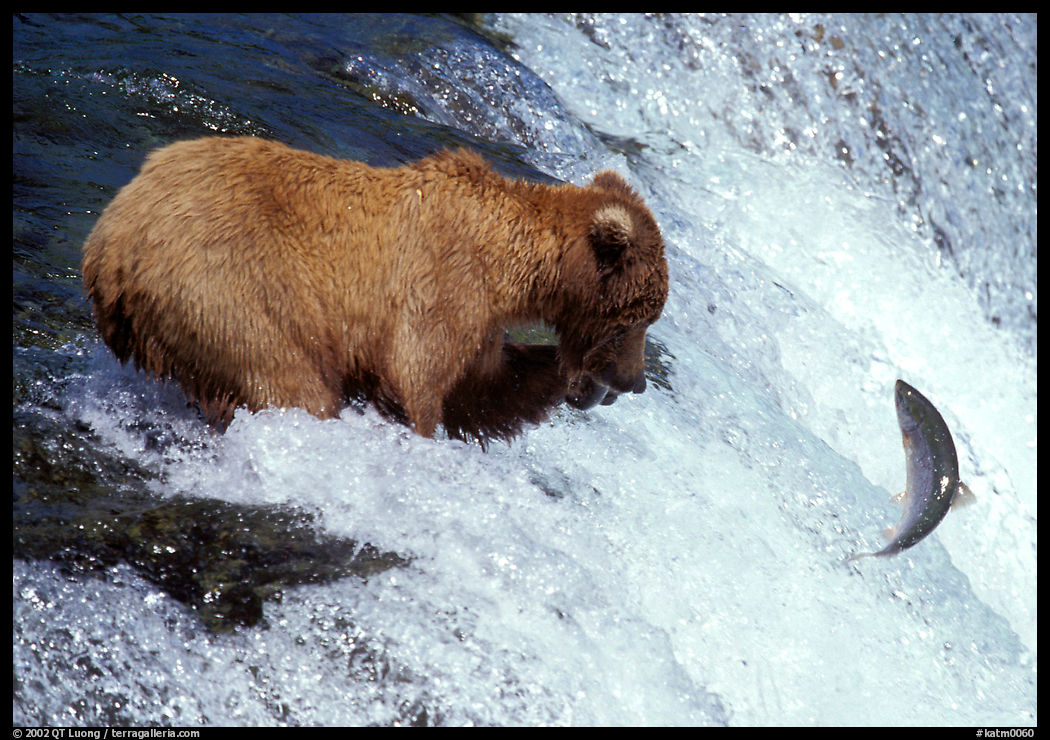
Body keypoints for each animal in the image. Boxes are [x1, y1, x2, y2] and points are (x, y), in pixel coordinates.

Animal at [81, 137, 668, 443]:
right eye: (637, 320)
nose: (637, 382)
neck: (512, 263)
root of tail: (109, 241)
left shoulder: (482, 322)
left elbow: (485, 390)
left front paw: (561, 374)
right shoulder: (443, 284)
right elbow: (419, 381)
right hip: (231, 286)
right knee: (292, 382)